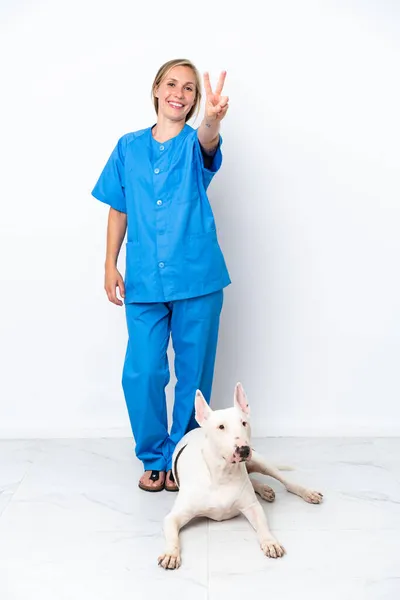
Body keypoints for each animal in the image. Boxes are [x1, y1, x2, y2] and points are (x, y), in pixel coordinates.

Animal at [158, 382, 324, 568]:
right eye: (221, 427)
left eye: (244, 423)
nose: (243, 449)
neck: (222, 474)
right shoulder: (174, 516)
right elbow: (172, 533)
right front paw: (171, 553)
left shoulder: (253, 507)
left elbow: (263, 525)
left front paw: (270, 542)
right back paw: (264, 489)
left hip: (260, 461)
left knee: (285, 481)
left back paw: (306, 493)